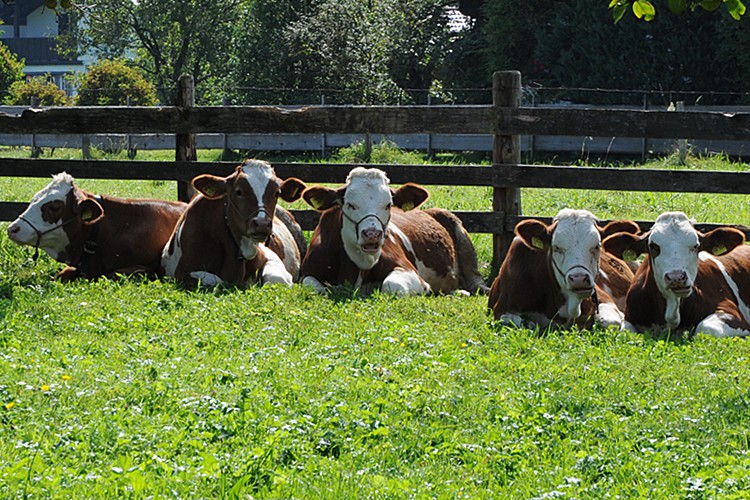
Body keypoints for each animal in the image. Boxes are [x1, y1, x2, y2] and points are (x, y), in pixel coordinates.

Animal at [7, 172, 188, 282]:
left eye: (54, 207)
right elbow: (61, 274)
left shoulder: (147, 268)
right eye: (34, 199)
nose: (12, 229)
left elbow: (113, 274)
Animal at [162, 158, 308, 288]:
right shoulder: (182, 272)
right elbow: (218, 281)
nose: (262, 224)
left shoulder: (272, 258)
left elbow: (276, 279)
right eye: (239, 191)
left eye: (277, 193)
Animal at [300, 166, 488, 294]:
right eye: (350, 204)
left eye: (388, 204)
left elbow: (392, 286)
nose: (372, 234)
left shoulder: (409, 270)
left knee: (475, 279)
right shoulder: (307, 272)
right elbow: (314, 287)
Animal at [490, 209, 644, 330]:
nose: (579, 279)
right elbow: (513, 322)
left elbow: (609, 321)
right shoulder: (504, 308)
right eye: (556, 247)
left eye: (597, 246)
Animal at [604, 211, 750, 336]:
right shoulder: (629, 317)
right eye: (653, 246)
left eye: (696, 246)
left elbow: (705, 327)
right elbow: (626, 332)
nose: (676, 277)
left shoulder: (732, 314)